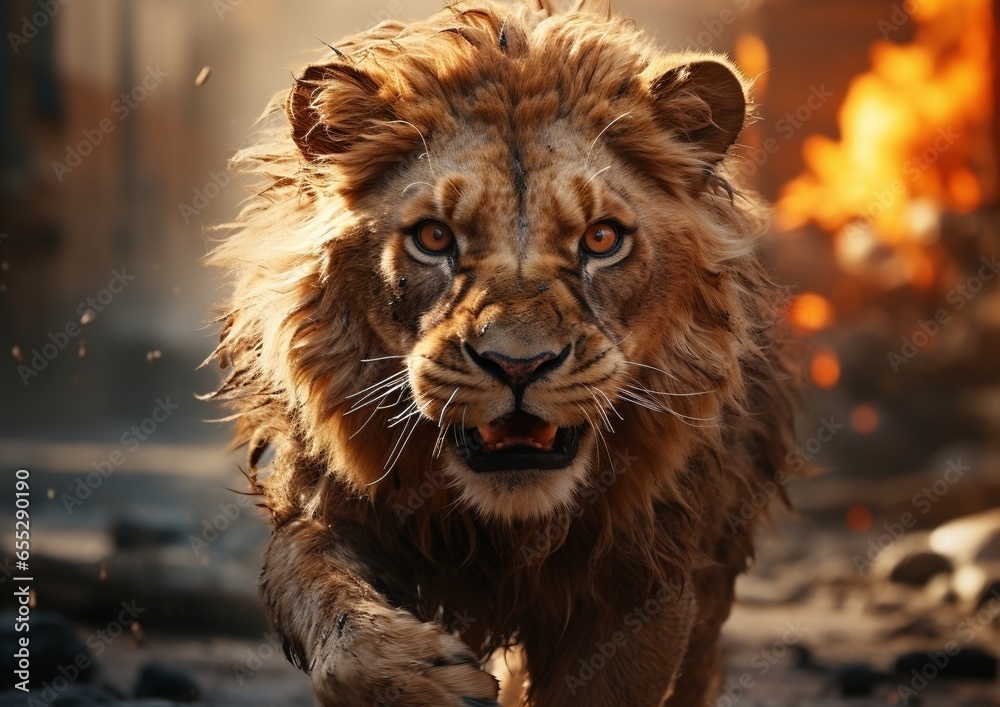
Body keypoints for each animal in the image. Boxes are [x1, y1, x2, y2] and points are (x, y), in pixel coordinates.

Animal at [206, 1, 799, 705]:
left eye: (602, 239)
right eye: (435, 238)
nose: (519, 365)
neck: (508, 529)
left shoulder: (647, 578)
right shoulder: (325, 506)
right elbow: (330, 609)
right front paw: (420, 679)